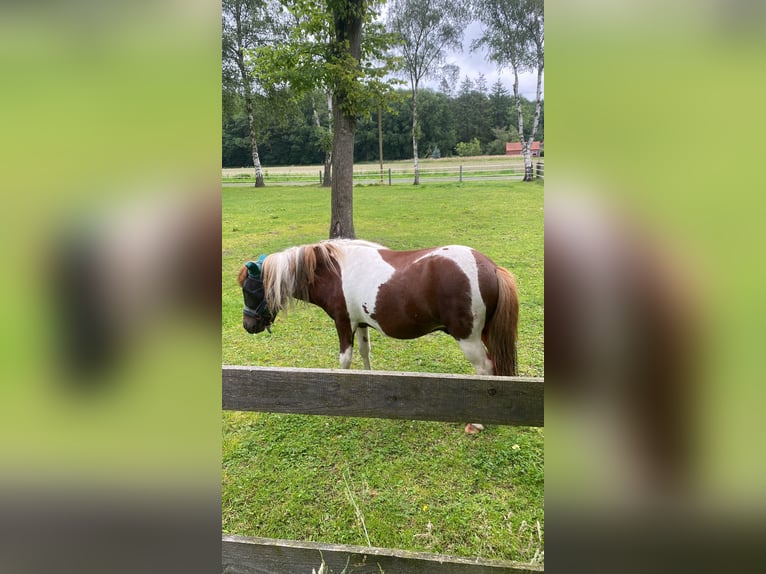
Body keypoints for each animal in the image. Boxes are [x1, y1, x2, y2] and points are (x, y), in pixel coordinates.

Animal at [237, 241, 520, 430]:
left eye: (250, 290)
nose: (248, 325)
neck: (333, 271)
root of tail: (492, 268)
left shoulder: (344, 323)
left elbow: (345, 360)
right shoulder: (361, 324)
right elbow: (365, 353)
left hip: (468, 339)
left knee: (484, 370)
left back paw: (478, 422)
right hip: (485, 335)